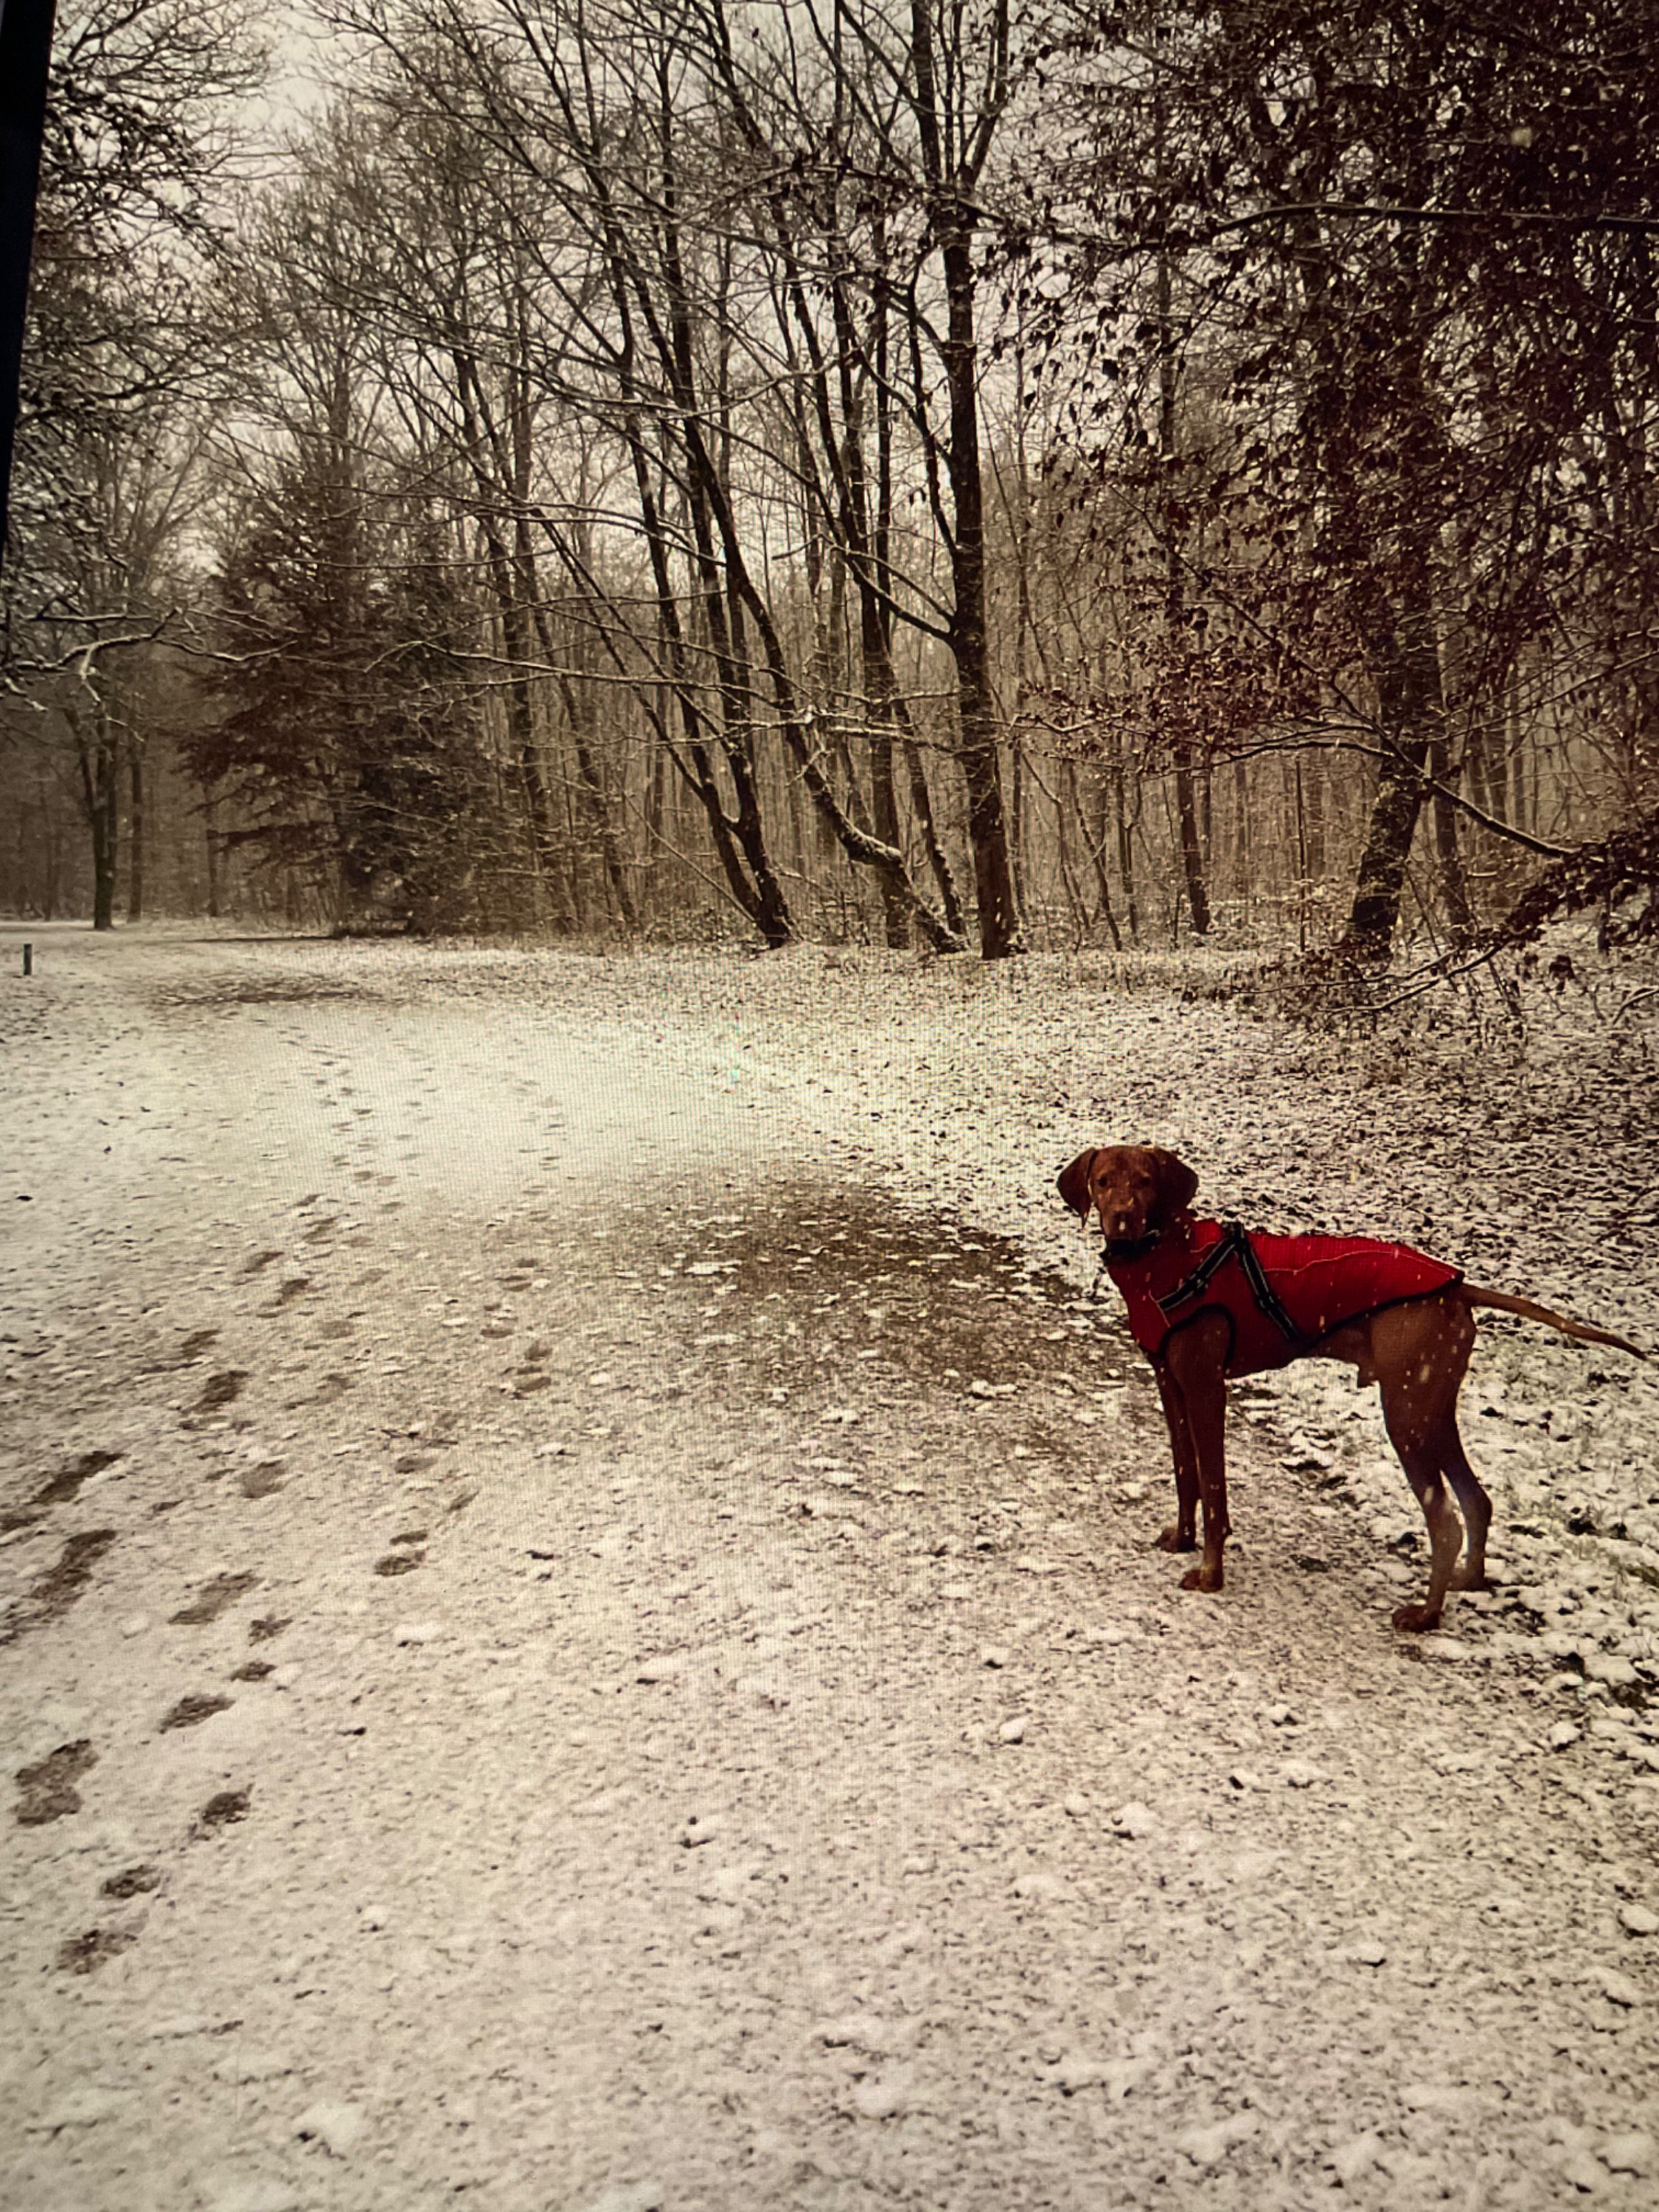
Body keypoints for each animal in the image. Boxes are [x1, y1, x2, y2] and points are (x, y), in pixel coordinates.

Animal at [1057, 1144, 1647, 1631]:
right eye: (1103, 1181)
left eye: (1145, 1181)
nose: (1122, 1218)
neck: (1167, 1258)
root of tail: (1457, 1290)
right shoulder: (1170, 1385)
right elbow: (1187, 1476)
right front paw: (1183, 1540)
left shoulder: (1206, 1389)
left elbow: (1215, 1490)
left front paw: (1210, 1572)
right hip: (1430, 1409)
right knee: (1477, 1500)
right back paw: (1467, 1581)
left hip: (1405, 1415)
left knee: (1445, 1518)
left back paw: (1427, 1614)